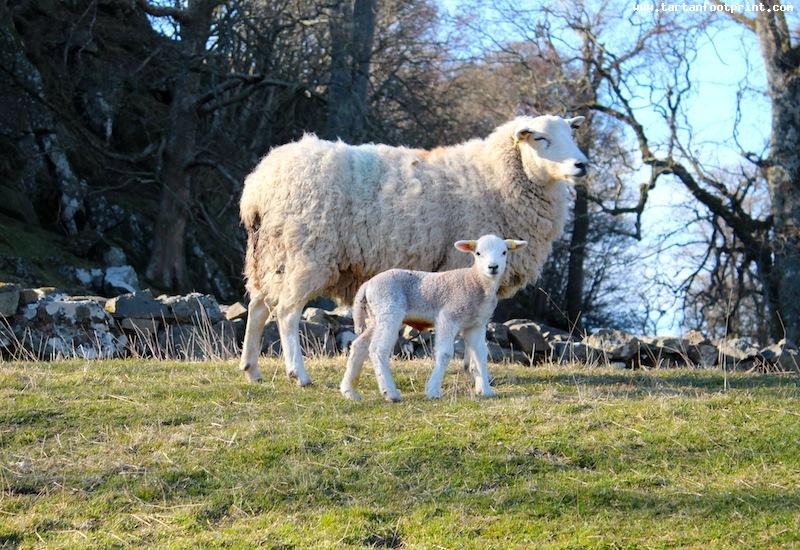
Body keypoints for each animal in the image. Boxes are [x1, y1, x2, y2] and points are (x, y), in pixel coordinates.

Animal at [238, 114, 588, 386]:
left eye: (572, 133)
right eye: (540, 138)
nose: (581, 164)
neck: (495, 178)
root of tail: (258, 186)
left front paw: (469, 366)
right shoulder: (462, 264)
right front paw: (468, 368)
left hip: (272, 255)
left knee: (258, 307)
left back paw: (251, 368)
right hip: (306, 253)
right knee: (286, 312)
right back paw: (298, 373)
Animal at [340, 235, 528, 404]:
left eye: (504, 252)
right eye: (478, 253)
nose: (493, 267)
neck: (475, 281)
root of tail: (367, 285)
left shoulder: (476, 324)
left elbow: (481, 355)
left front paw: (486, 390)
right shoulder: (448, 316)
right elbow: (444, 353)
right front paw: (433, 390)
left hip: (376, 317)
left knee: (359, 345)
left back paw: (350, 391)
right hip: (389, 310)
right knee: (378, 349)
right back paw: (390, 393)